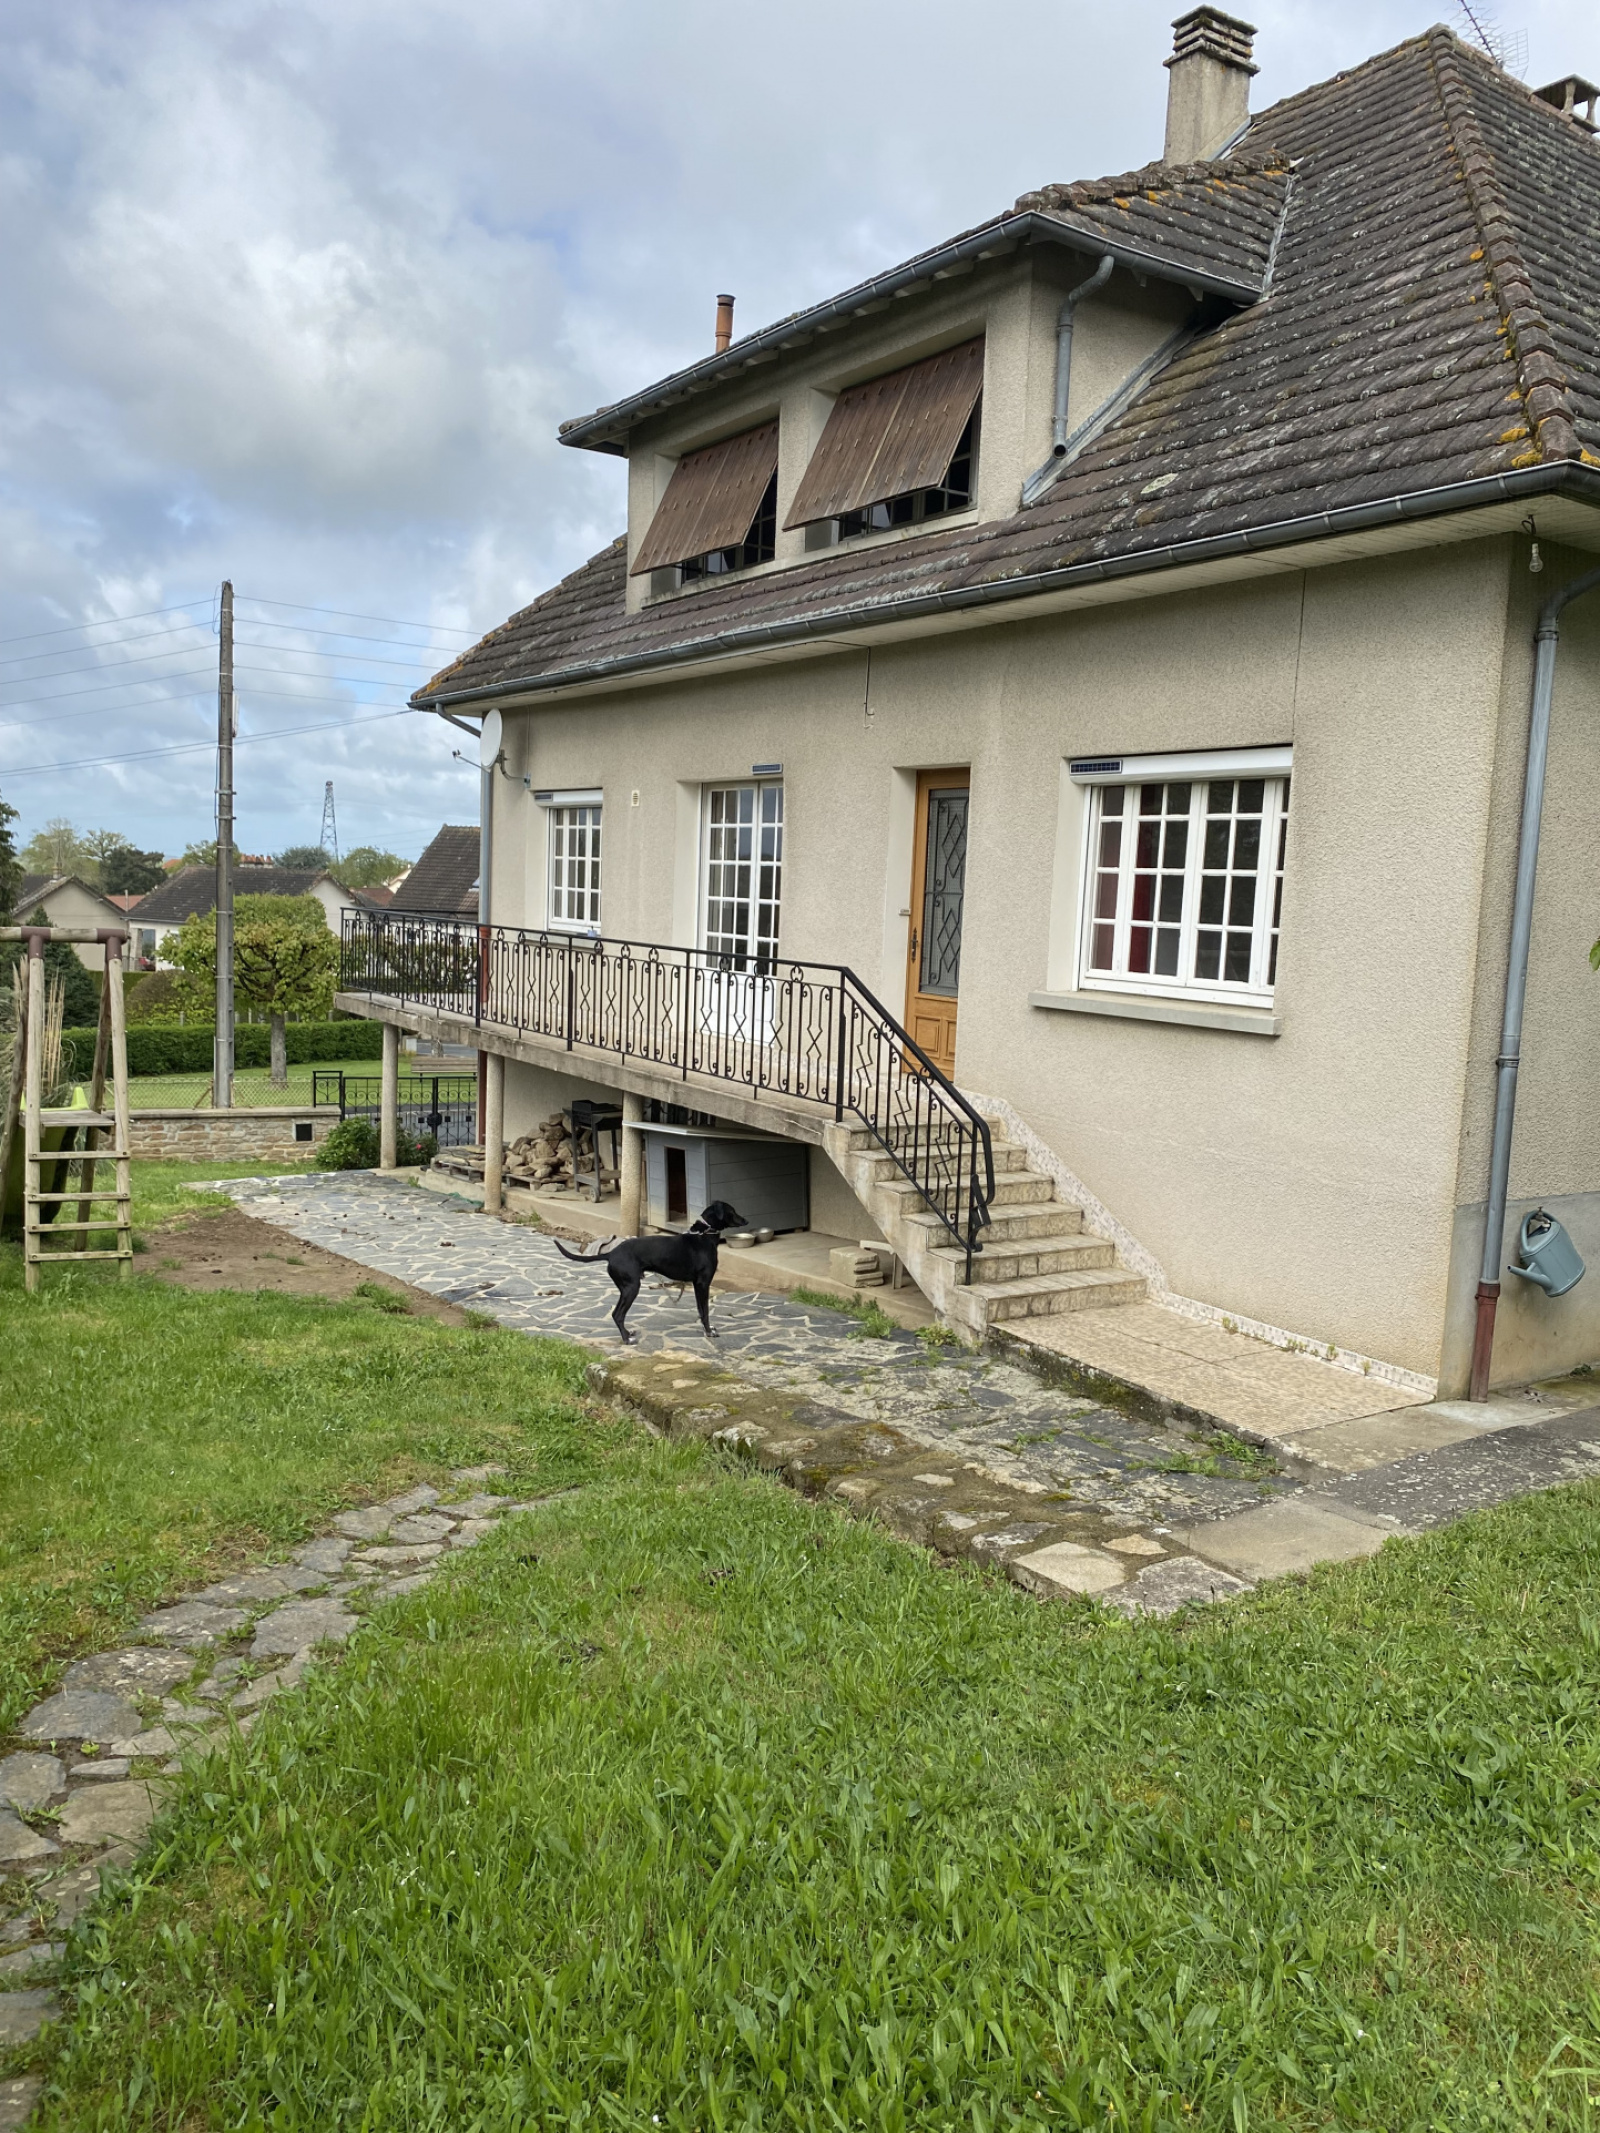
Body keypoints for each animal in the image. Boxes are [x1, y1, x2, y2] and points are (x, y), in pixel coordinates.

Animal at [553, 1200, 747, 1344]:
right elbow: (705, 1311)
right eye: (732, 1210)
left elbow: (700, 1310)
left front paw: (708, 1329)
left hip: (626, 1288)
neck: (703, 1235)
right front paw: (709, 1332)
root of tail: (611, 1254)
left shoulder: (697, 1285)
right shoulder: (703, 1283)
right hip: (632, 1288)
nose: (746, 1221)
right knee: (618, 1314)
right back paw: (627, 1339)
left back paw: (627, 1334)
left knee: (617, 1314)